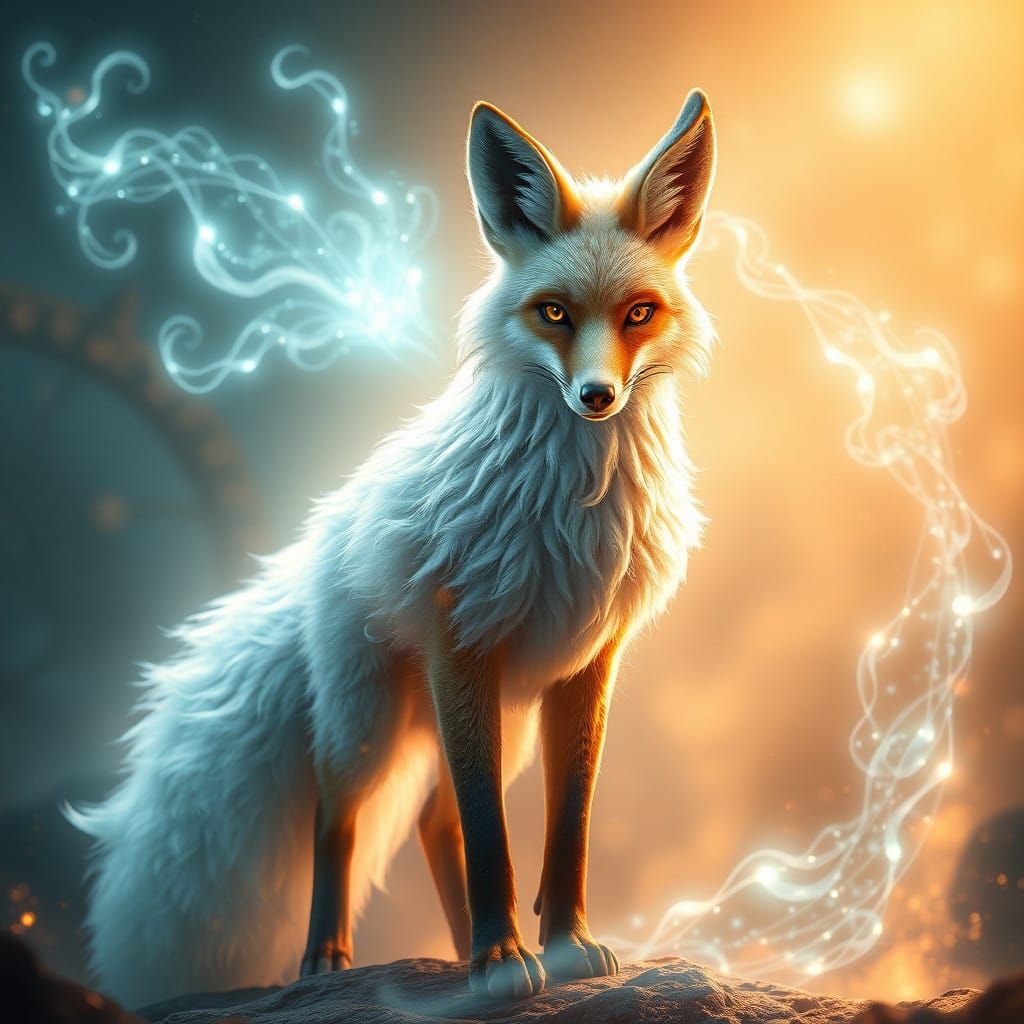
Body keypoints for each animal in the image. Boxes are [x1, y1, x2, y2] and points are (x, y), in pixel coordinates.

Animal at [69, 88, 717, 1006]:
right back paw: (333, 961)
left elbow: (568, 826)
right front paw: (502, 959)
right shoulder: (462, 645)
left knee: (433, 820)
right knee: (339, 814)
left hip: (489, 722)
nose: (597, 396)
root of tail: (318, 538)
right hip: (370, 724)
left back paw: (457, 954)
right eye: (554, 312)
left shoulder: (589, 660)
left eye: (638, 314)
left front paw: (561, 947)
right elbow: (490, 835)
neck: (573, 510)